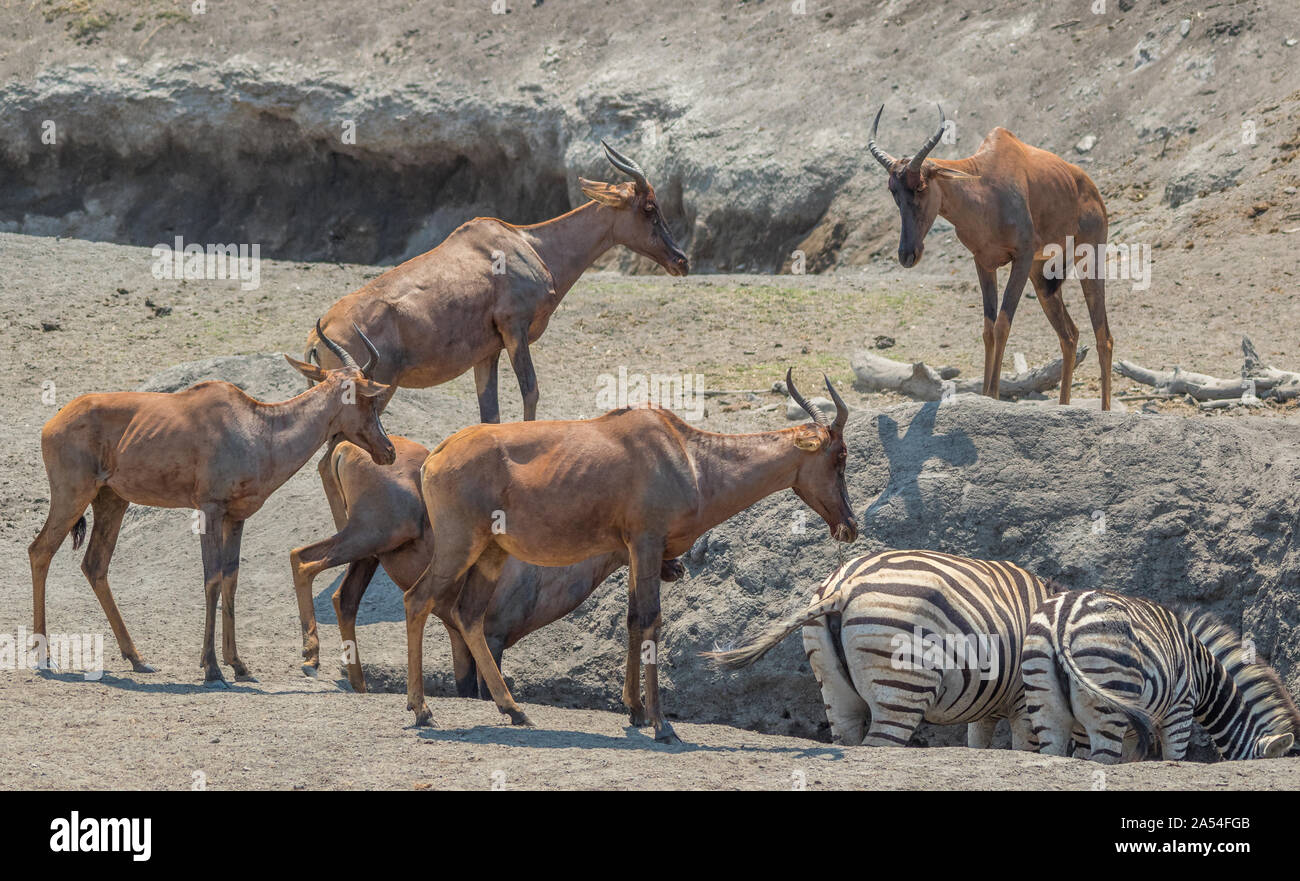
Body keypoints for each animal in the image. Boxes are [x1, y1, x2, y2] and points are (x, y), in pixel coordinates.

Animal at [27, 324, 392, 680]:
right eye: (369, 401)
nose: (388, 451)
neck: (253, 425)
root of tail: (53, 421)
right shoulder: (209, 510)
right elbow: (212, 578)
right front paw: (212, 667)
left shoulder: (237, 516)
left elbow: (231, 578)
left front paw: (239, 665)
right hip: (72, 495)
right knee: (40, 551)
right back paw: (45, 658)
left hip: (111, 501)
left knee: (95, 565)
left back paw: (137, 659)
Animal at [288, 434, 686, 696]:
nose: (678, 569)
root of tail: (347, 449)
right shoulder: (489, 636)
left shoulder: (457, 636)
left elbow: (464, 688)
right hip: (371, 535)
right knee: (302, 559)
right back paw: (310, 660)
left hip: (370, 552)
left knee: (344, 599)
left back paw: (359, 684)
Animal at [400, 371, 857, 743]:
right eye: (840, 456)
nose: (849, 526)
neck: (684, 452)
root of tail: (438, 452)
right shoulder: (647, 544)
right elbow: (651, 620)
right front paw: (662, 725)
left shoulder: (636, 553)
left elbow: (633, 620)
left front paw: (635, 711)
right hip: (459, 546)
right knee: (418, 599)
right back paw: (422, 710)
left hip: (491, 552)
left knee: (469, 614)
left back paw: (514, 710)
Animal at [868, 105, 1112, 410]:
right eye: (893, 191)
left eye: (921, 186)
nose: (907, 254)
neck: (985, 183)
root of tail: (1089, 186)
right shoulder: (983, 263)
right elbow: (987, 329)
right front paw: (985, 393)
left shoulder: (1022, 258)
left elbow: (1002, 325)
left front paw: (993, 393)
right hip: (1043, 277)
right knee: (1069, 335)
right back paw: (1064, 406)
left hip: (1089, 260)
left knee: (1103, 336)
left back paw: (1105, 410)